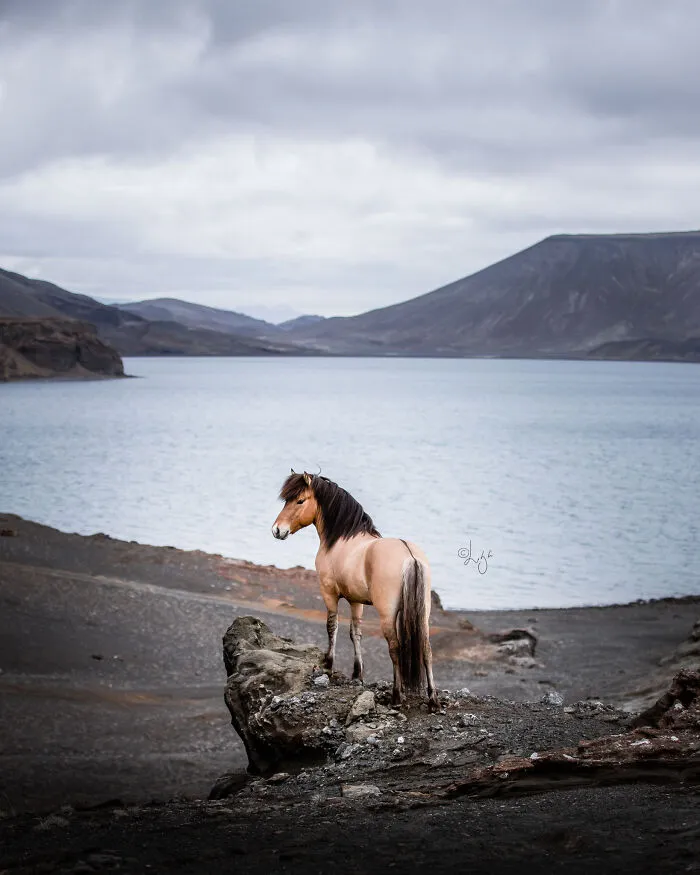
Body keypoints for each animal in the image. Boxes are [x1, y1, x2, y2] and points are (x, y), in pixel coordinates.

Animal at [271, 470, 438, 711]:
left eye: (300, 500)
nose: (277, 530)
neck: (341, 539)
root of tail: (410, 556)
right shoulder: (355, 600)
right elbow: (355, 633)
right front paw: (357, 674)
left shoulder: (329, 593)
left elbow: (332, 626)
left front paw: (328, 664)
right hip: (423, 615)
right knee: (426, 649)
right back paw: (433, 699)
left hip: (387, 614)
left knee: (395, 648)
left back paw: (397, 696)